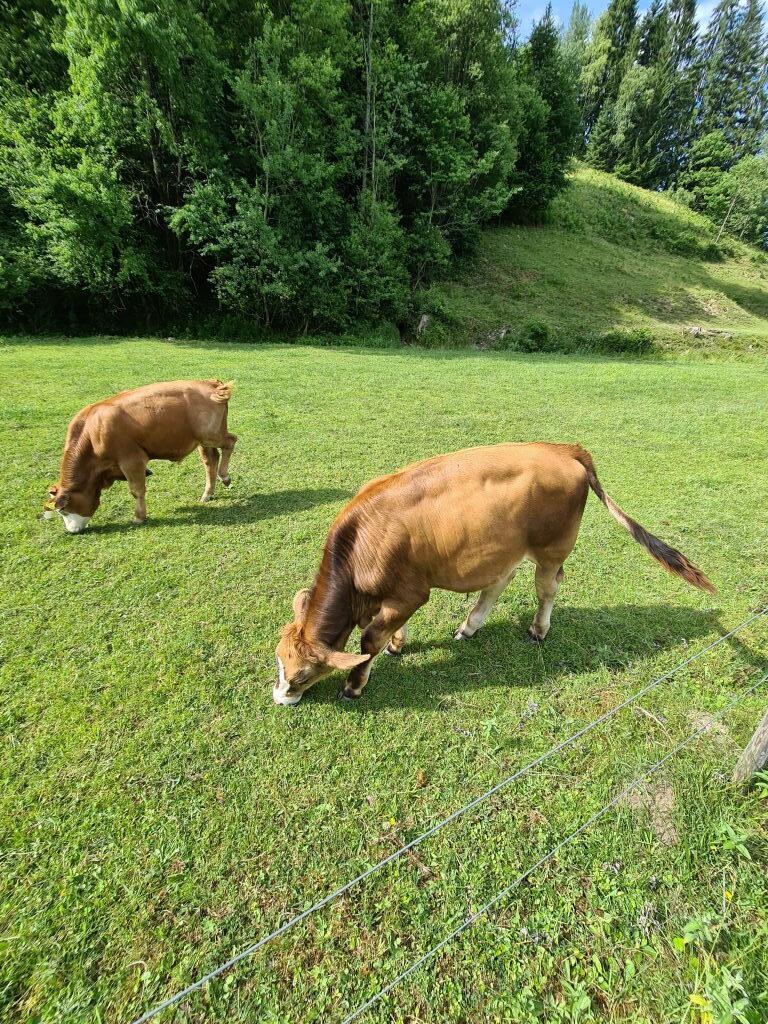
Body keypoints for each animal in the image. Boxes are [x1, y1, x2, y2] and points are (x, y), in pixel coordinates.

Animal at [44, 379, 237, 533]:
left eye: (63, 510)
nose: (70, 531)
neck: (92, 433)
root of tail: (212, 384)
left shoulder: (131, 460)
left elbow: (136, 490)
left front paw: (139, 516)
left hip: (210, 435)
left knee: (231, 441)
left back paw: (225, 477)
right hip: (203, 441)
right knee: (210, 460)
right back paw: (208, 493)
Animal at [273, 442, 714, 705]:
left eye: (302, 676)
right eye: (278, 661)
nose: (280, 698)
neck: (360, 544)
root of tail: (563, 448)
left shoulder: (411, 593)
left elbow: (368, 641)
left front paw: (354, 685)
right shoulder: (393, 594)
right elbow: (385, 631)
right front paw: (398, 644)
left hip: (551, 549)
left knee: (547, 587)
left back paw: (538, 629)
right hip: (504, 548)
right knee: (500, 581)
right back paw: (470, 626)